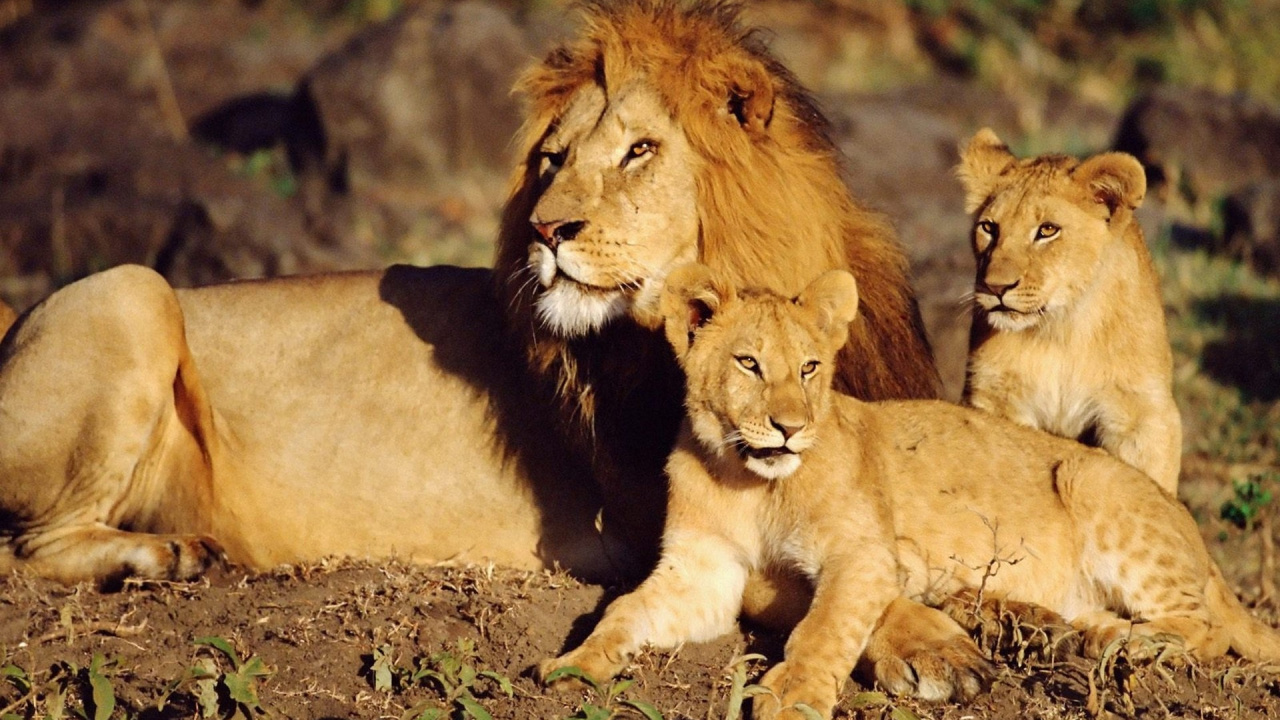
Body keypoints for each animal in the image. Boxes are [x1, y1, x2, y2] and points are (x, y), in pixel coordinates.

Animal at [0, 2, 936, 589]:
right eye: (553, 161)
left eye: (639, 151)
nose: (547, 230)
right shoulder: (661, 518)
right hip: (132, 290)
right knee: (30, 548)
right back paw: (166, 557)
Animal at [539, 263, 1280, 720]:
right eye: (748, 363)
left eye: (809, 368)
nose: (790, 427)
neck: (750, 481)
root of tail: (1202, 542)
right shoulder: (704, 572)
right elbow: (625, 612)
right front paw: (573, 665)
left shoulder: (863, 554)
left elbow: (826, 626)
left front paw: (795, 696)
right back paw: (1071, 633)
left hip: (1091, 477)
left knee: (1207, 629)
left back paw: (1124, 646)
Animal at [957, 129, 1182, 493]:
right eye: (989, 228)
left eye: (1047, 230)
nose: (995, 287)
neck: (1061, 330)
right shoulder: (993, 396)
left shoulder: (1143, 411)